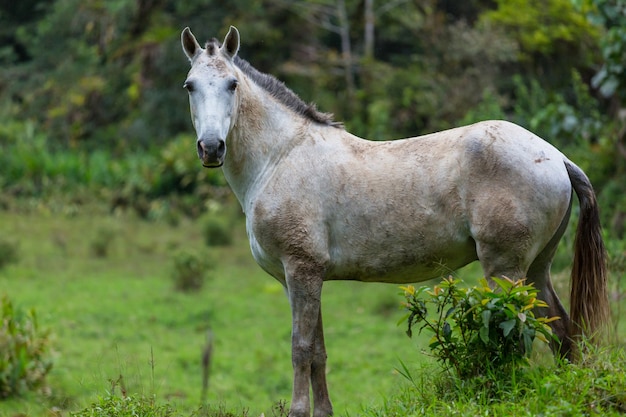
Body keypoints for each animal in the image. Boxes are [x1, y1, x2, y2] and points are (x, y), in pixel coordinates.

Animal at [178, 26, 608, 416]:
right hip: (536, 269)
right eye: (190, 86)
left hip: (506, 270)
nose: (211, 147)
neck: (281, 157)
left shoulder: (301, 270)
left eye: (233, 84)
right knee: (562, 333)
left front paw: (299, 411)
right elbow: (318, 351)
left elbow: (300, 349)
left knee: (519, 331)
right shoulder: (302, 278)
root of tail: (556, 157)